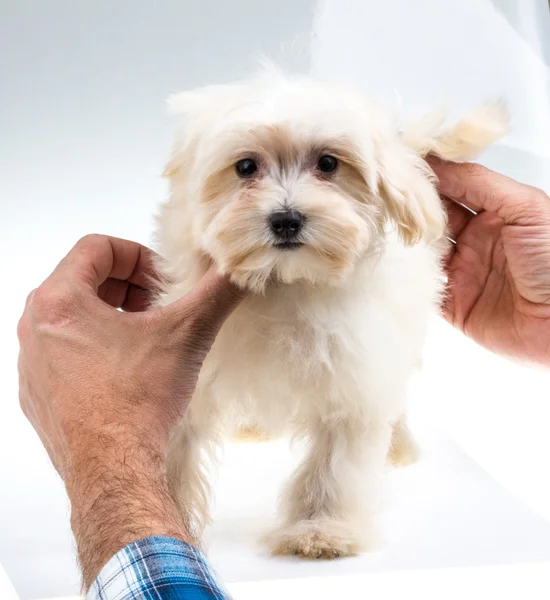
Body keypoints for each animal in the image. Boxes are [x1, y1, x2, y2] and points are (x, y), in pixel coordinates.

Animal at [154, 72, 508, 560]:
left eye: (328, 164)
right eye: (245, 167)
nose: (286, 219)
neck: (288, 282)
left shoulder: (354, 373)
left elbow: (336, 460)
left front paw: (321, 529)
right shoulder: (190, 366)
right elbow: (171, 443)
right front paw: (168, 517)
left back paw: (398, 447)